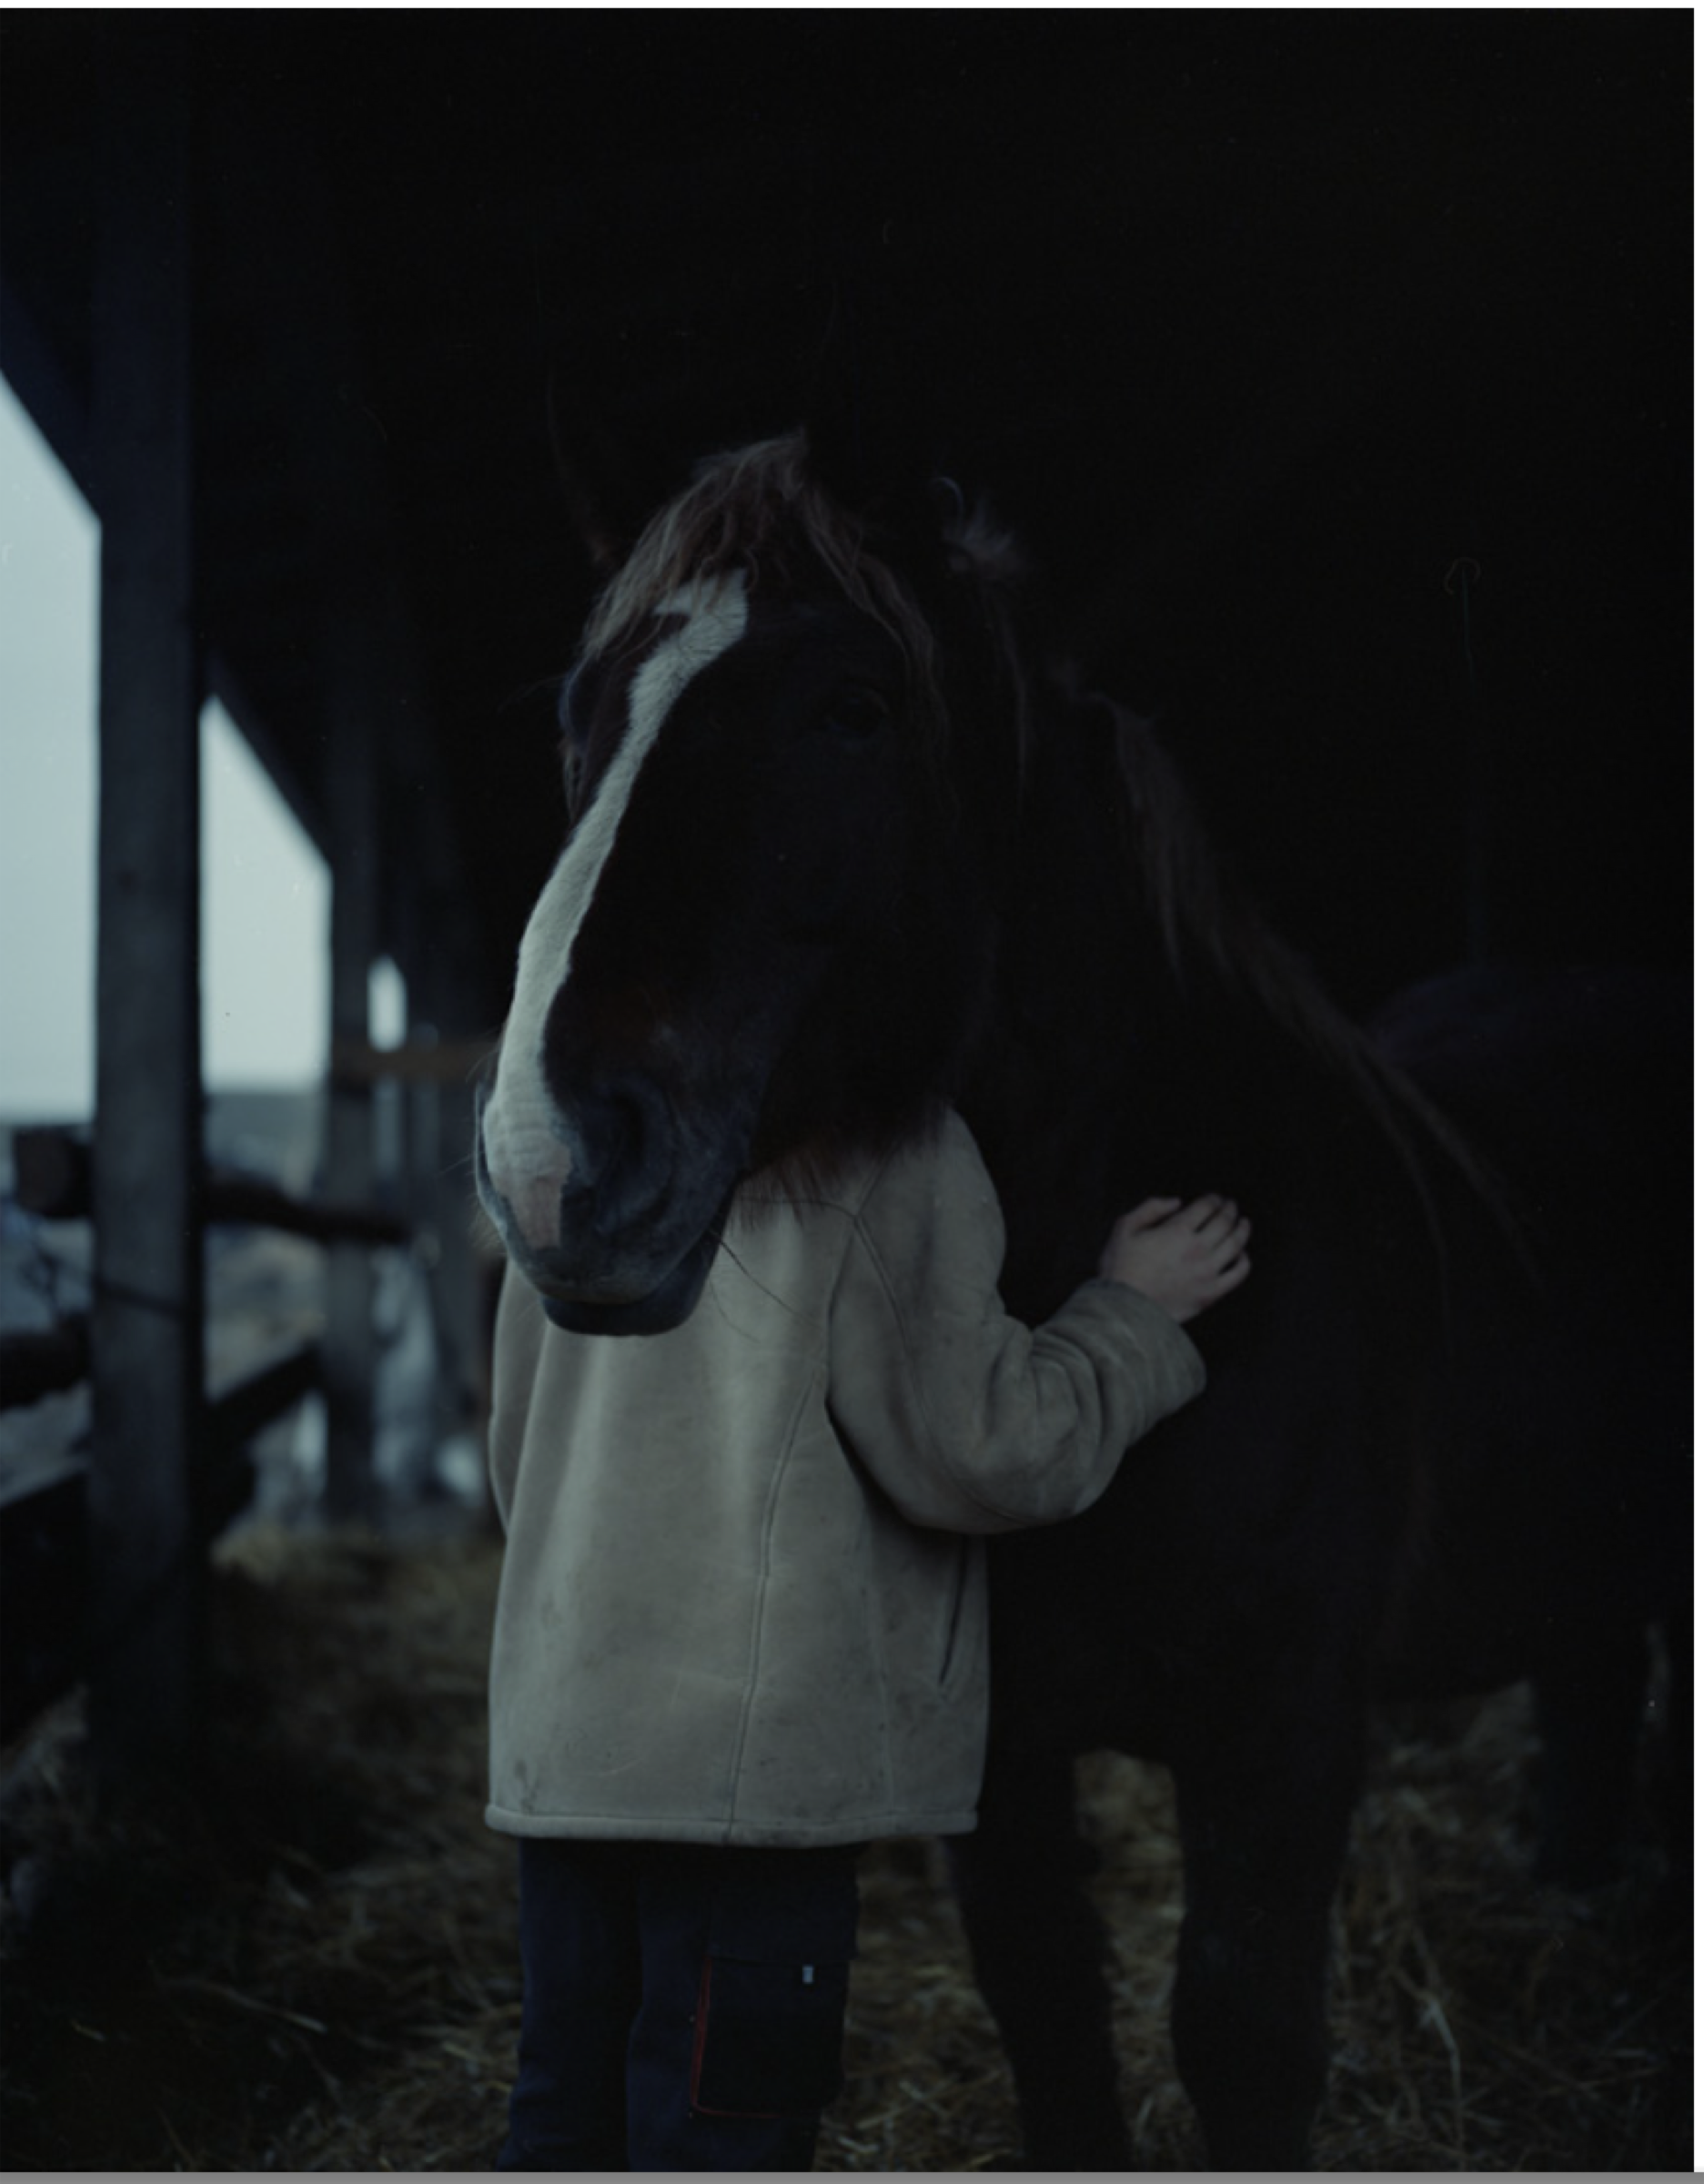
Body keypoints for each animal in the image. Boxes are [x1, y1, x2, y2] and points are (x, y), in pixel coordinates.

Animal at [473, 422, 1690, 2168]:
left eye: (854, 707)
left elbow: (1242, 2039)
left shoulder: (1280, 1732)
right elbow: (1047, 2007)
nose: (552, 1164)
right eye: (581, 716)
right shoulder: (999, 1756)